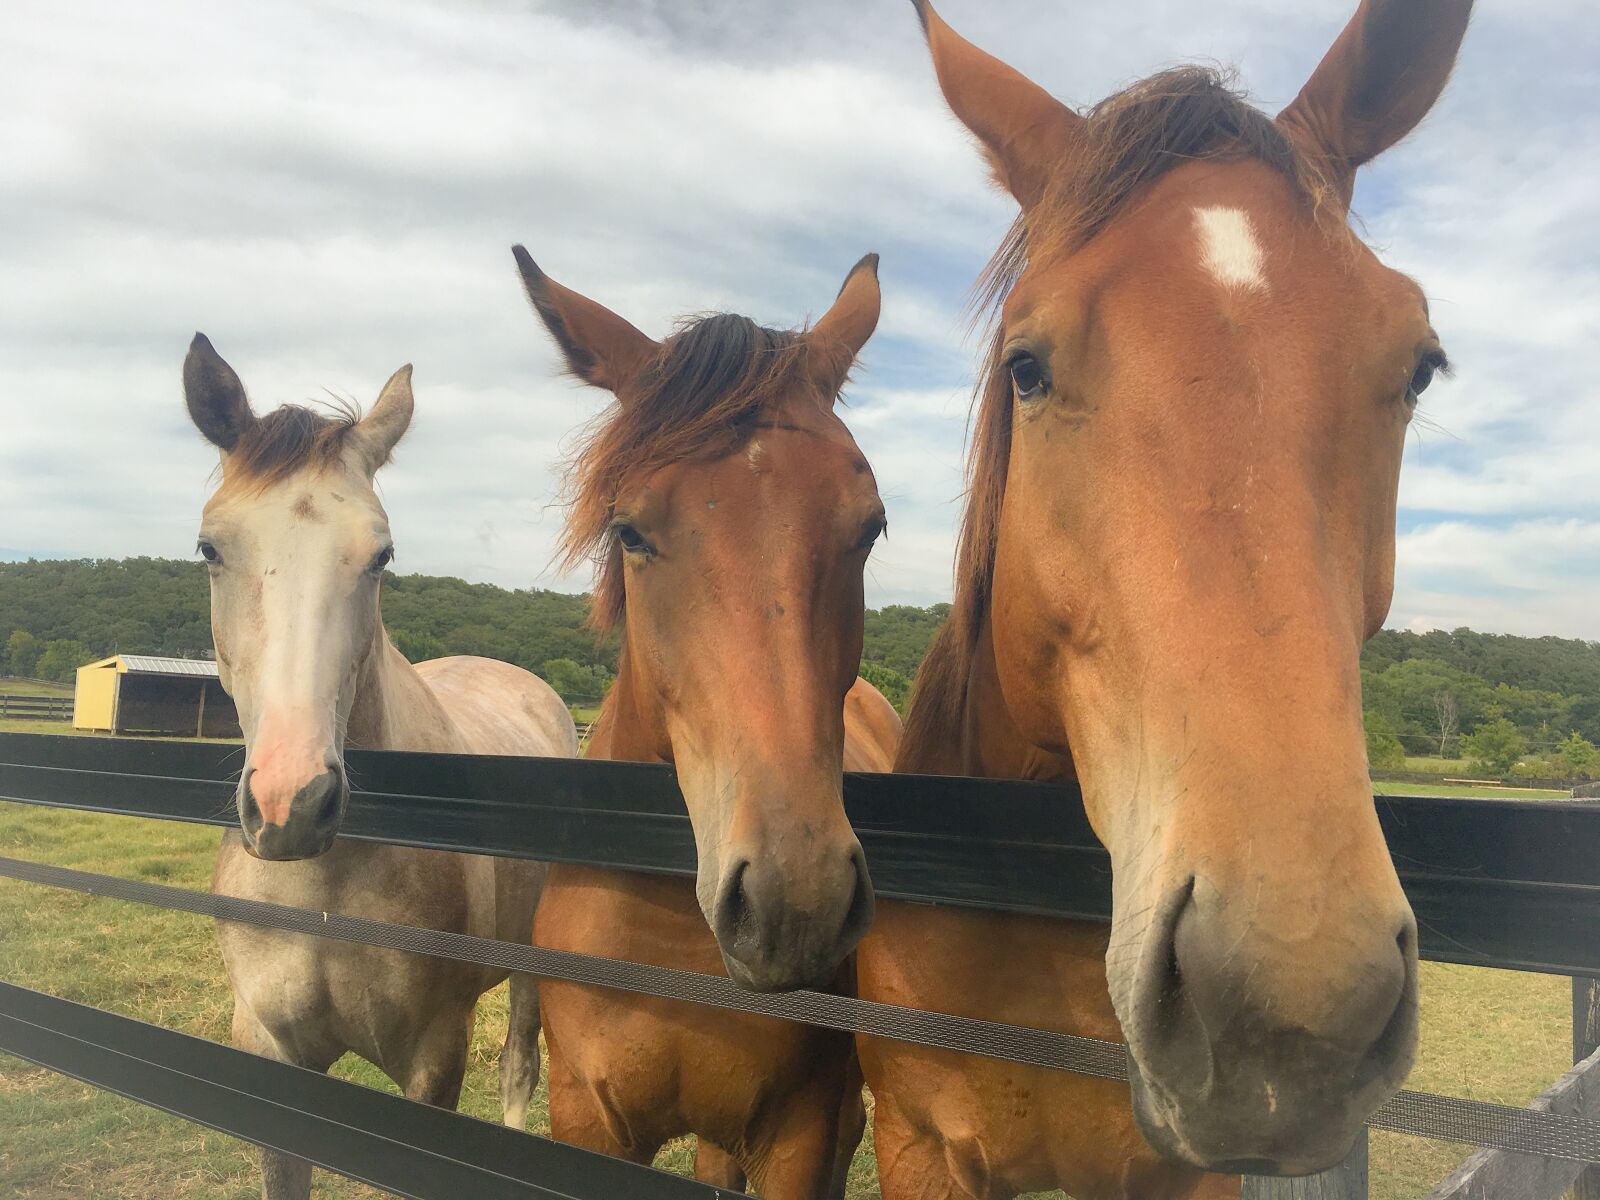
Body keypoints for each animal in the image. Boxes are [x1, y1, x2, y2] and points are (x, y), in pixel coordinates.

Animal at [183, 335, 576, 1200]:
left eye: (381, 554)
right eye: (210, 548)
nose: (292, 804)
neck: (323, 890)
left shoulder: (433, 1057)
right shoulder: (270, 1051)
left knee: (519, 1067)